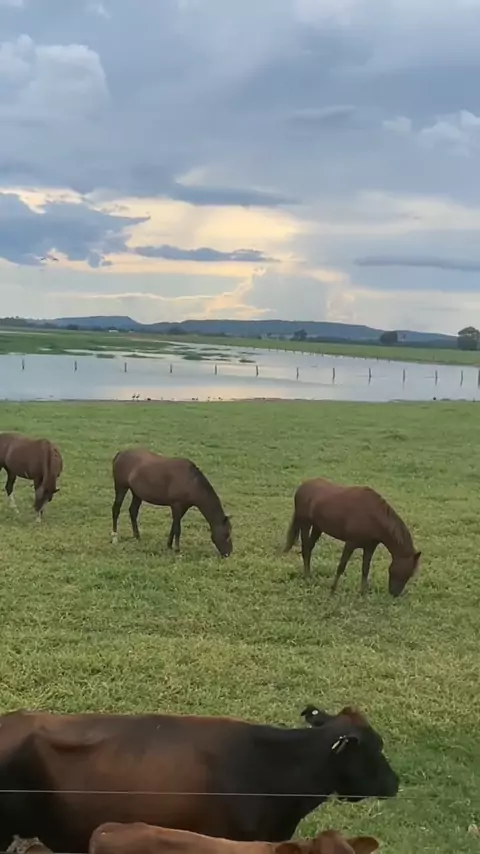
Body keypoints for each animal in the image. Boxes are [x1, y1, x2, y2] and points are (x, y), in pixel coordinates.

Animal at [284, 477, 421, 596]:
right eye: (405, 572)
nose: (395, 594)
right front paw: (332, 590)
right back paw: (307, 577)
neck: (373, 516)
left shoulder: (370, 547)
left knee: (309, 548)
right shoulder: (350, 543)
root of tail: (301, 487)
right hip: (305, 524)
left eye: (410, 575)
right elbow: (341, 566)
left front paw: (363, 592)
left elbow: (365, 569)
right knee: (305, 549)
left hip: (318, 527)